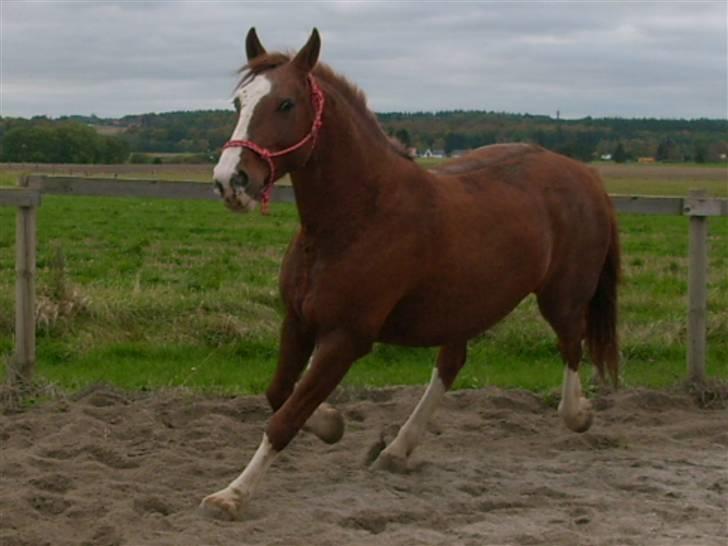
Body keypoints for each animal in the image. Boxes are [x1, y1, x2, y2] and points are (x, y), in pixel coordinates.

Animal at [203, 26, 620, 520]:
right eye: (239, 102)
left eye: (285, 103)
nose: (231, 181)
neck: (357, 217)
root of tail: (585, 174)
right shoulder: (298, 320)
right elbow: (279, 393)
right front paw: (331, 423)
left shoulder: (346, 338)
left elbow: (285, 417)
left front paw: (232, 495)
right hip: (466, 306)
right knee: (451, 364)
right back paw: (397, 450)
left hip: (562, 296)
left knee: (572, 343)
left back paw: (579, 414)